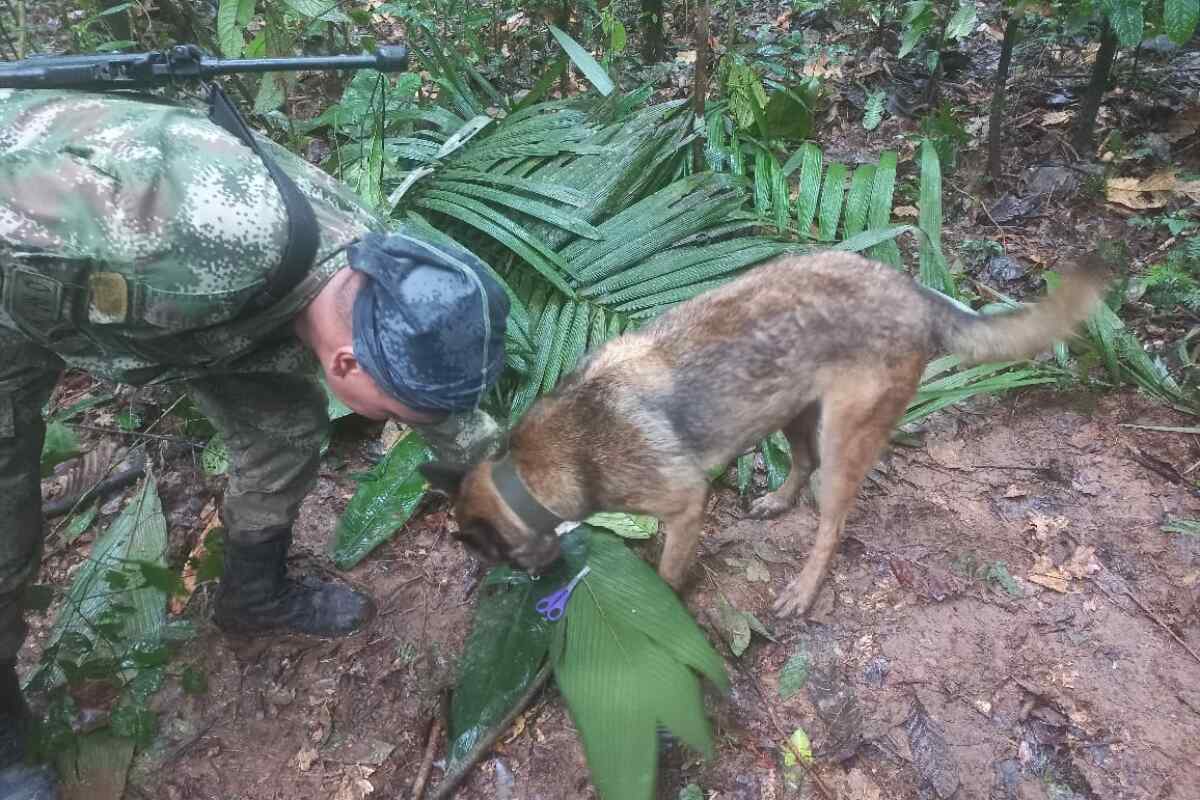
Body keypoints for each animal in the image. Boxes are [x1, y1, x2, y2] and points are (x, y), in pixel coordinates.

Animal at [420, 253, 1104, 618]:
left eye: (494, 557)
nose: (537, 586)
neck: (532, 471)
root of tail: (914, 292)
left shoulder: (684, 504)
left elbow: (668, 570)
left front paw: (662, 602)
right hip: (792, 410)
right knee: (799, 465)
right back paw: (777, 501)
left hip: (843, 438)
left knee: (831, 523)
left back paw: (803, 588)